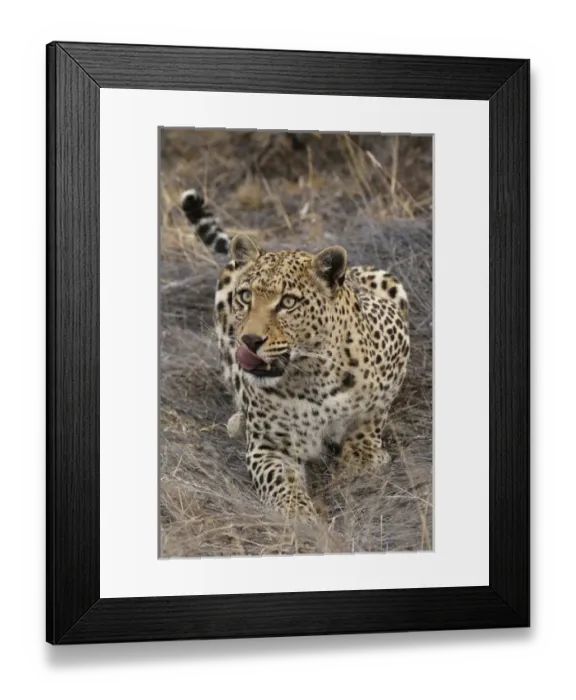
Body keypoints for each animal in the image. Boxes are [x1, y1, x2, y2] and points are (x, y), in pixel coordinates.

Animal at [180, 188, 410, 523]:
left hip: (389, 281)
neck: (311, 379)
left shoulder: (396, 342)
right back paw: (238, 420)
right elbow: (280, 481)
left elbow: (372, 413)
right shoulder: (269, 446)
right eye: (245, 296)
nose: (249, 340)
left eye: (288, 302)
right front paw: (300, 517)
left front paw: (362, 458)